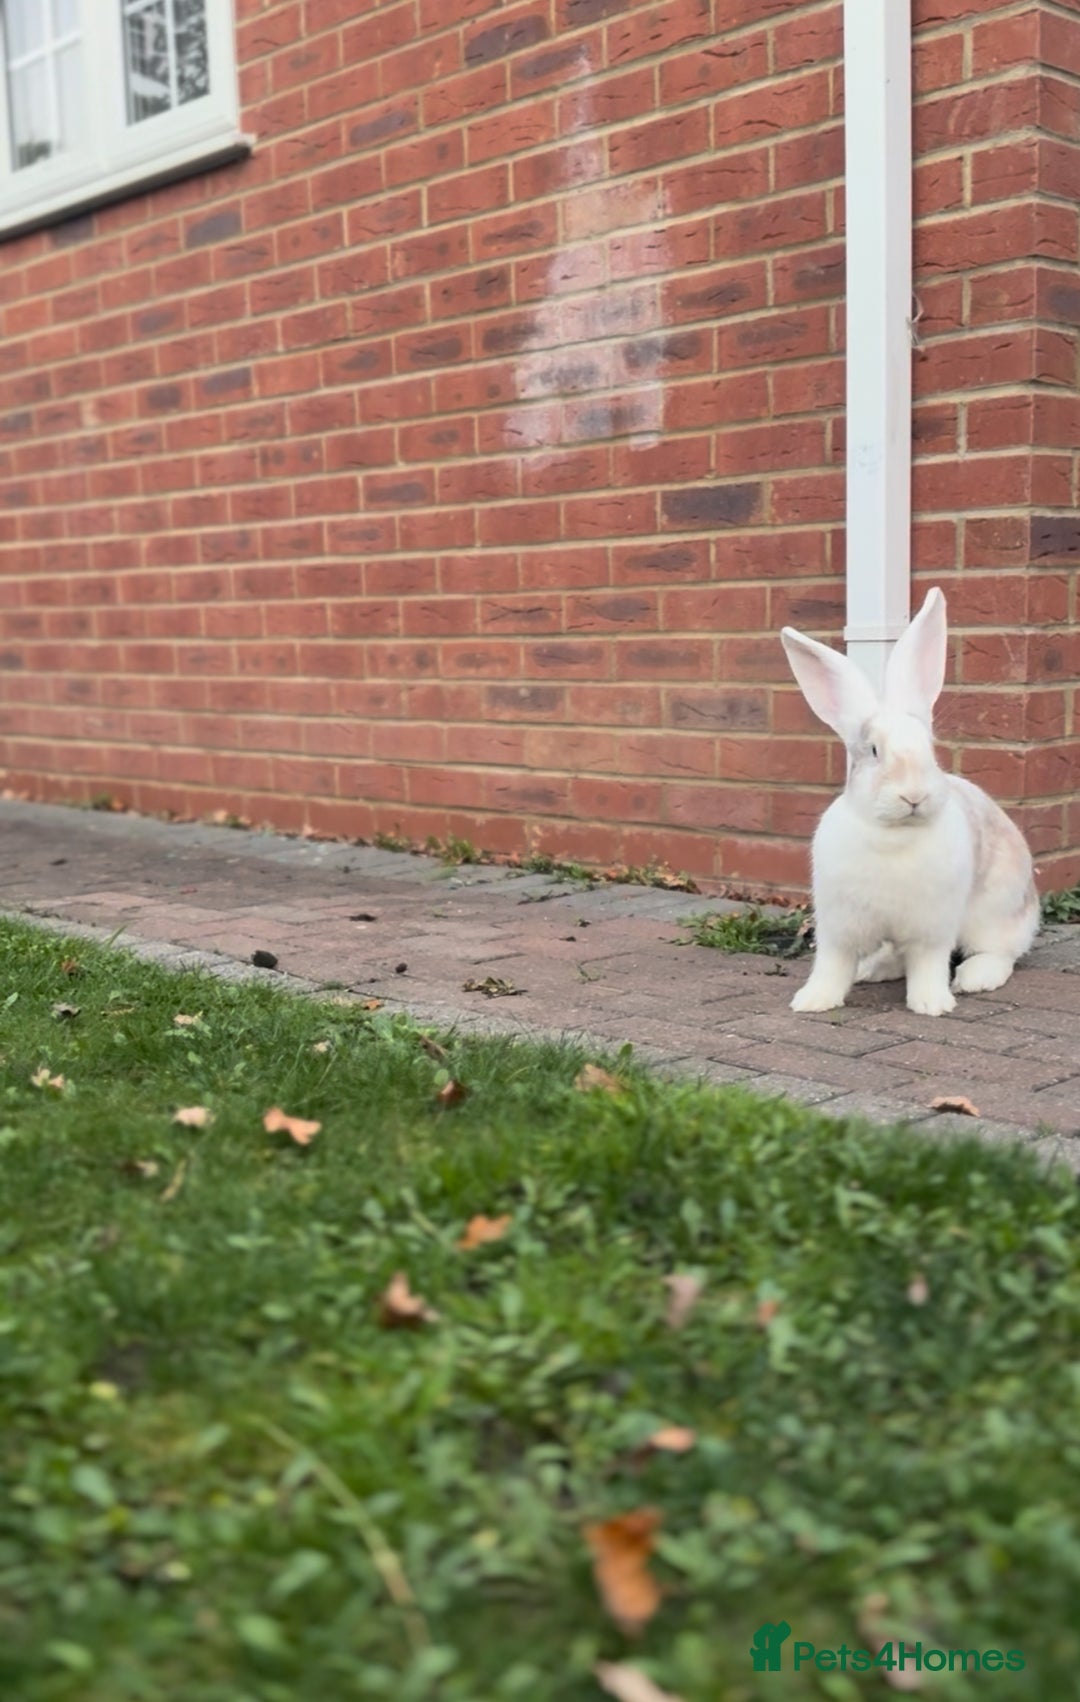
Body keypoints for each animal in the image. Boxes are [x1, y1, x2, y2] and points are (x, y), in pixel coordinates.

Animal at [780, 586, 1038, 1017]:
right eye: (873, 751)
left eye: (930, 750)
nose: (914, 795)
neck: (893, 834)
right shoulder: (839, 925)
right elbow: (831, 965)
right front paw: (812, 1001)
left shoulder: (932, 929)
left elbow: (929, 965)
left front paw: (932, 1003)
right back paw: (873, 970)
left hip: (995, 911)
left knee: (1001, 952)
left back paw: (975, 978)